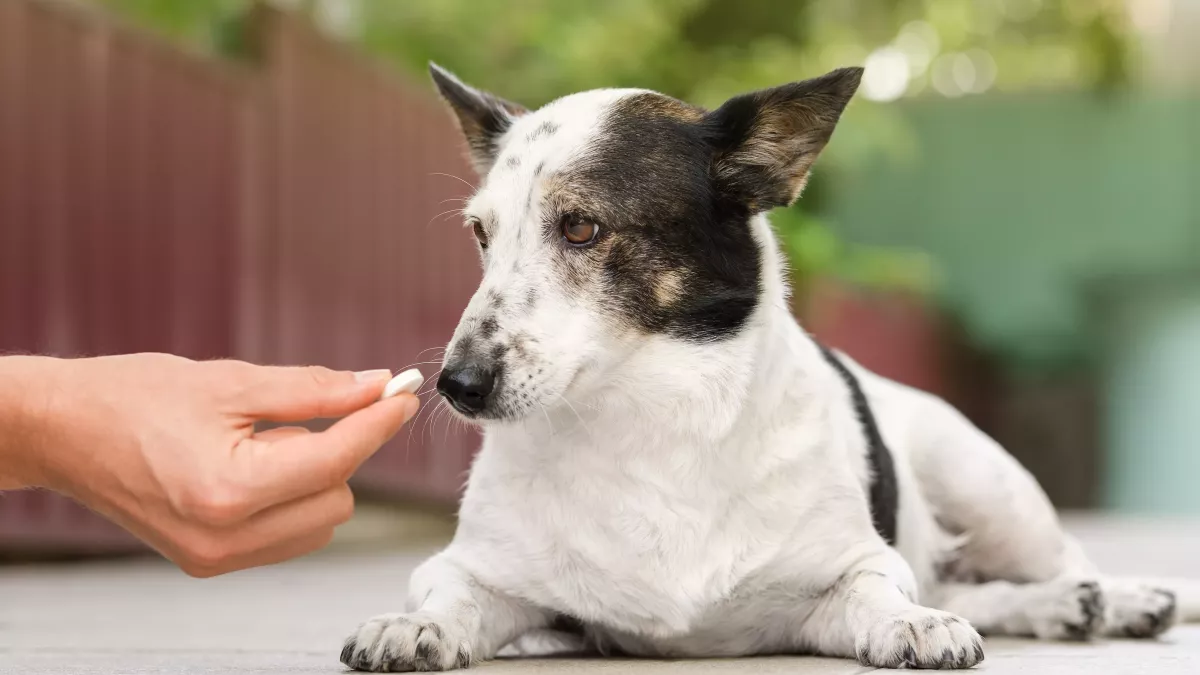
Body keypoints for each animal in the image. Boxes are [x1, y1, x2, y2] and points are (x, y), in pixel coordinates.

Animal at [340, 61, 1200, 667]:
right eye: (481, 234)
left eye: (581, 227)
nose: (456, 385)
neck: (649, 422)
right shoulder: (487, 576)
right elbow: (447, 594)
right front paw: (414, 625)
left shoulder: (845, 575)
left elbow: (885, 590)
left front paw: (911, 623)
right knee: (969, 582)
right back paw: (1064, 607)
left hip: (990, 486)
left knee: (1055, 561)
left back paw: (1124, 598)